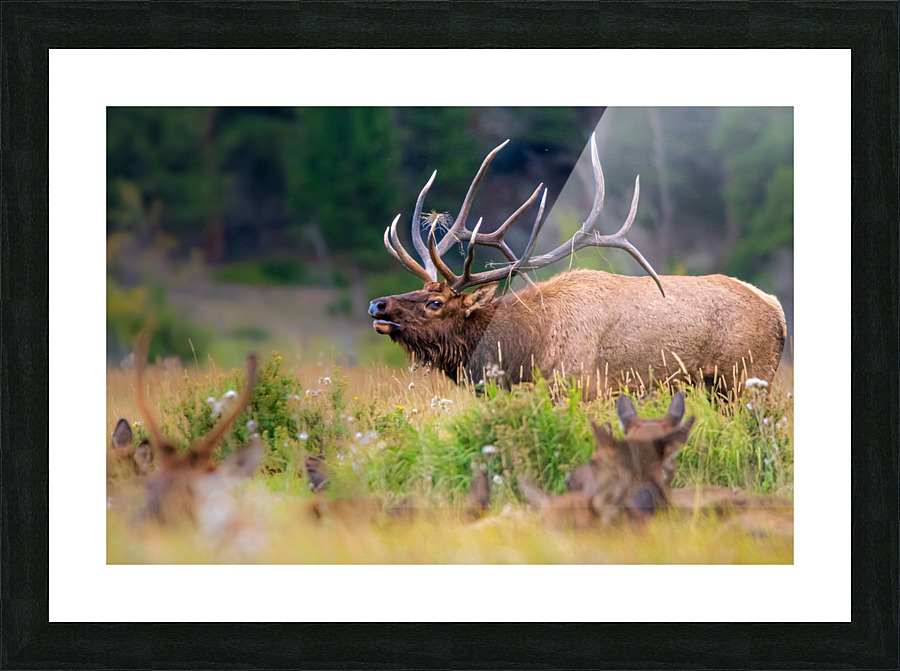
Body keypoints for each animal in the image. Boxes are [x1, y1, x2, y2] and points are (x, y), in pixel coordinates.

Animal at [368, 134, 786, 397]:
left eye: (436, 303)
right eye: (420, 290)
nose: (377, 304)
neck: (526, 347)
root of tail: (779, 312)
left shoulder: (580, 389)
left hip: (748, 380)